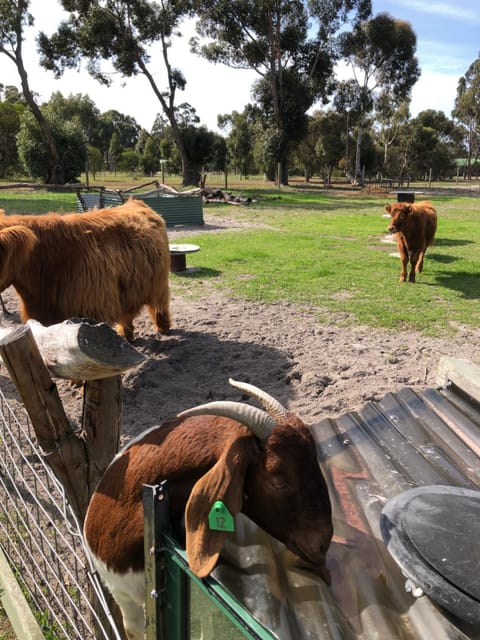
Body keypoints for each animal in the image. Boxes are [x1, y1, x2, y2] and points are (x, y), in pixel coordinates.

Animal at [0, 199, 171, 340]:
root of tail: (135, 202)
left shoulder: (92, 310)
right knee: (127, 314)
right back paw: (126, 335)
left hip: (160, 282)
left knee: (160, 305)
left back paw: (163, 328)